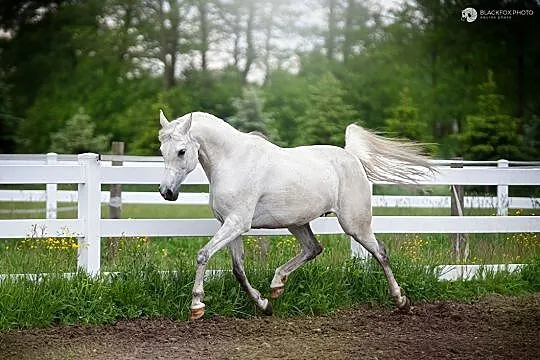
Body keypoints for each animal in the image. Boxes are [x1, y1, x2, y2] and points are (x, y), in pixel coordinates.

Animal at [157, 111, 434, 320]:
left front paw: (196, 306)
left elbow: (203, 255)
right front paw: (264, 305)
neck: (233, 161)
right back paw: (277, 285)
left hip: (355, 224)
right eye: (162, 150)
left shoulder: (237, 223)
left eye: (181, 151)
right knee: (314, 248)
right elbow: (238, 270)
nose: (167, 192)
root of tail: (351, 157)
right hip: (297, 223)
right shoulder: (230, 224)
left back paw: (401, 301)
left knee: (381, 253)